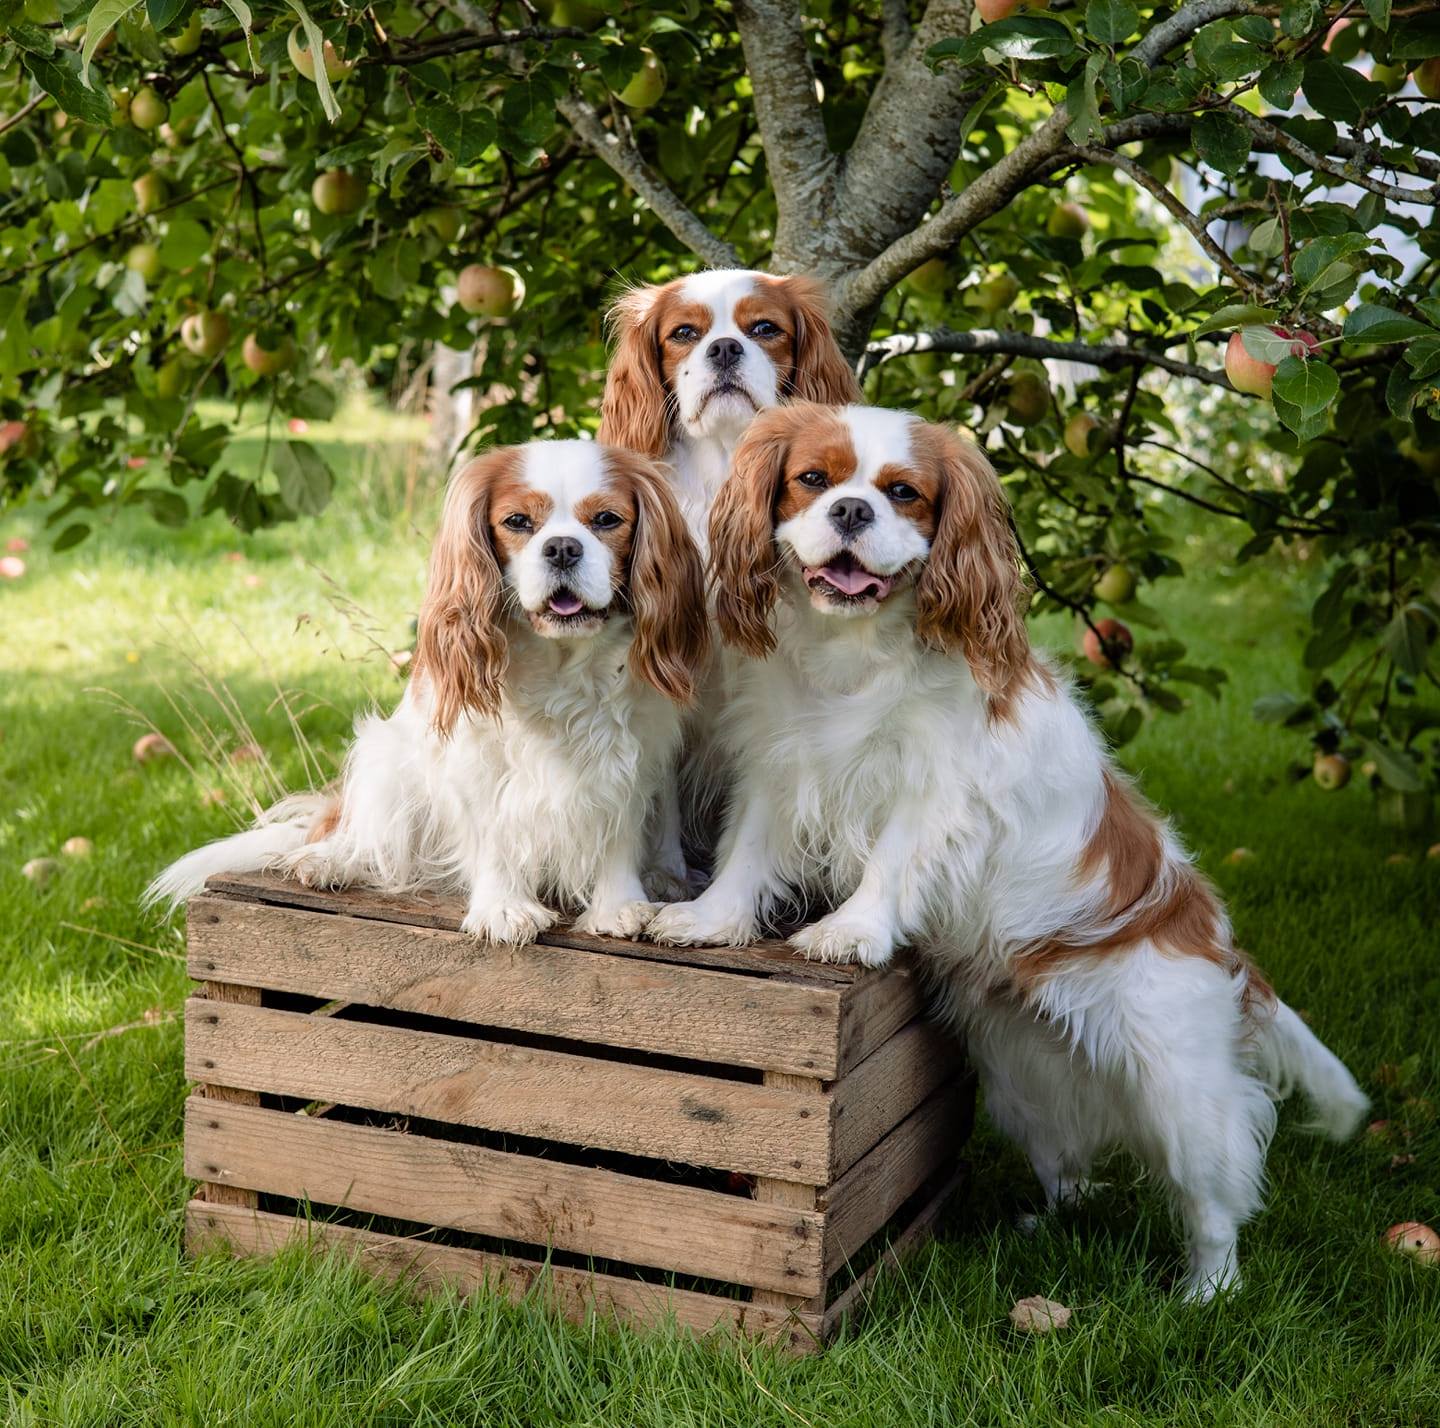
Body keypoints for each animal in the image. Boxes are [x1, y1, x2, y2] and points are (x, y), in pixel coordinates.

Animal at [146, 440, 708, 944]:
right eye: (517, 523)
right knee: (367, 834)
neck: (562, 664)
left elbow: (618, 831)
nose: (563, 548)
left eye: (607, 520)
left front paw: (617, 906)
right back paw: (332, 860)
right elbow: (492, 832)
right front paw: (503, 909)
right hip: (388, 756)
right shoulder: (476, 759)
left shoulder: (631, 758)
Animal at [648, 400, 1365, 1295]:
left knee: (1214, 1200)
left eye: (904, 494)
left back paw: (1206, 1292)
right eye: (812, 479)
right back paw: (1040, 1230)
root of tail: (1223, 947)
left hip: (1177, 1082)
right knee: (1069, 1167)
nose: (852, 511)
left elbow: (890, 864)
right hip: (1024, 1082)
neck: (854, 649)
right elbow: (747, 853)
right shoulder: (779, 760)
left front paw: (849, 932)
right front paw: (709, 921)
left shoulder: (934, 786)